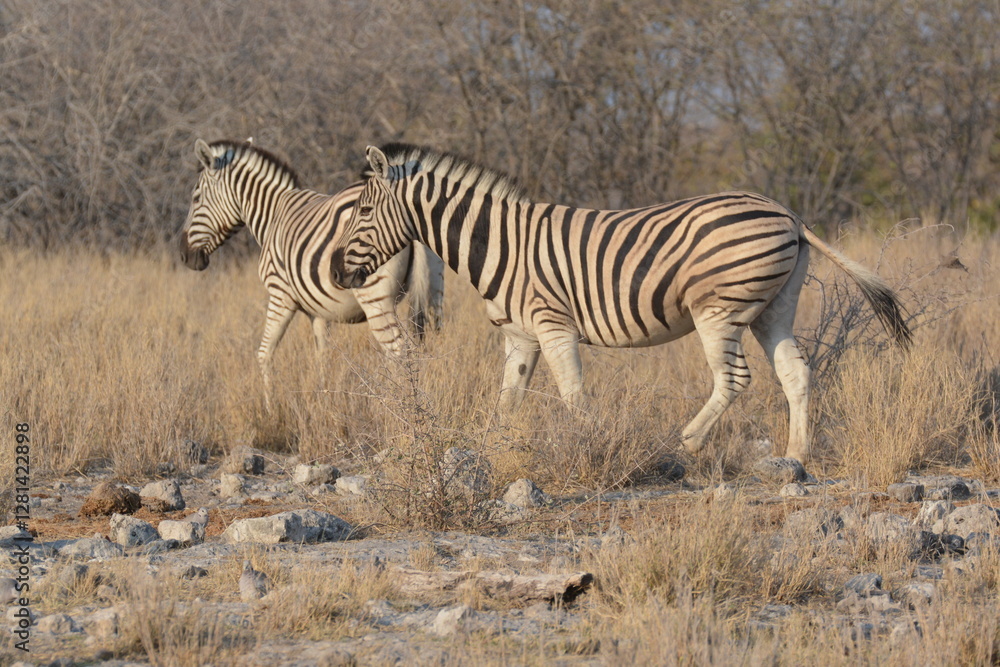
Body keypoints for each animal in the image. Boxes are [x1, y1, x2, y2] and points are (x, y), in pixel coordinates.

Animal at [179, 139, 444, 407]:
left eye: (195, 197)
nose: (184, 256)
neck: (272, 215)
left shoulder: (280, 295)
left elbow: (265, 353)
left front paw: (269, 407)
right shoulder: (318, 310)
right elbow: (322, 356)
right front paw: (324, 401)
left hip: (375, 296)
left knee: (398, 351)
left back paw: (396, 405)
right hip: (433, 289)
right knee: (429, 340)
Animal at [330, 143, 912, 463]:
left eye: (362, 212)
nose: (337, 271)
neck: (499, 242)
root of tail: (790, 215)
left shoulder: (553, 324)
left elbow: (572, 395)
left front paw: (589, 448)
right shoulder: (520, 336)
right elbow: (505, 403)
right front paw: (484, 454)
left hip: (718, 309)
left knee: (734, 378)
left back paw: (687, 443)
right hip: (774, 308)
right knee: (795, 371)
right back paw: (796, 455)